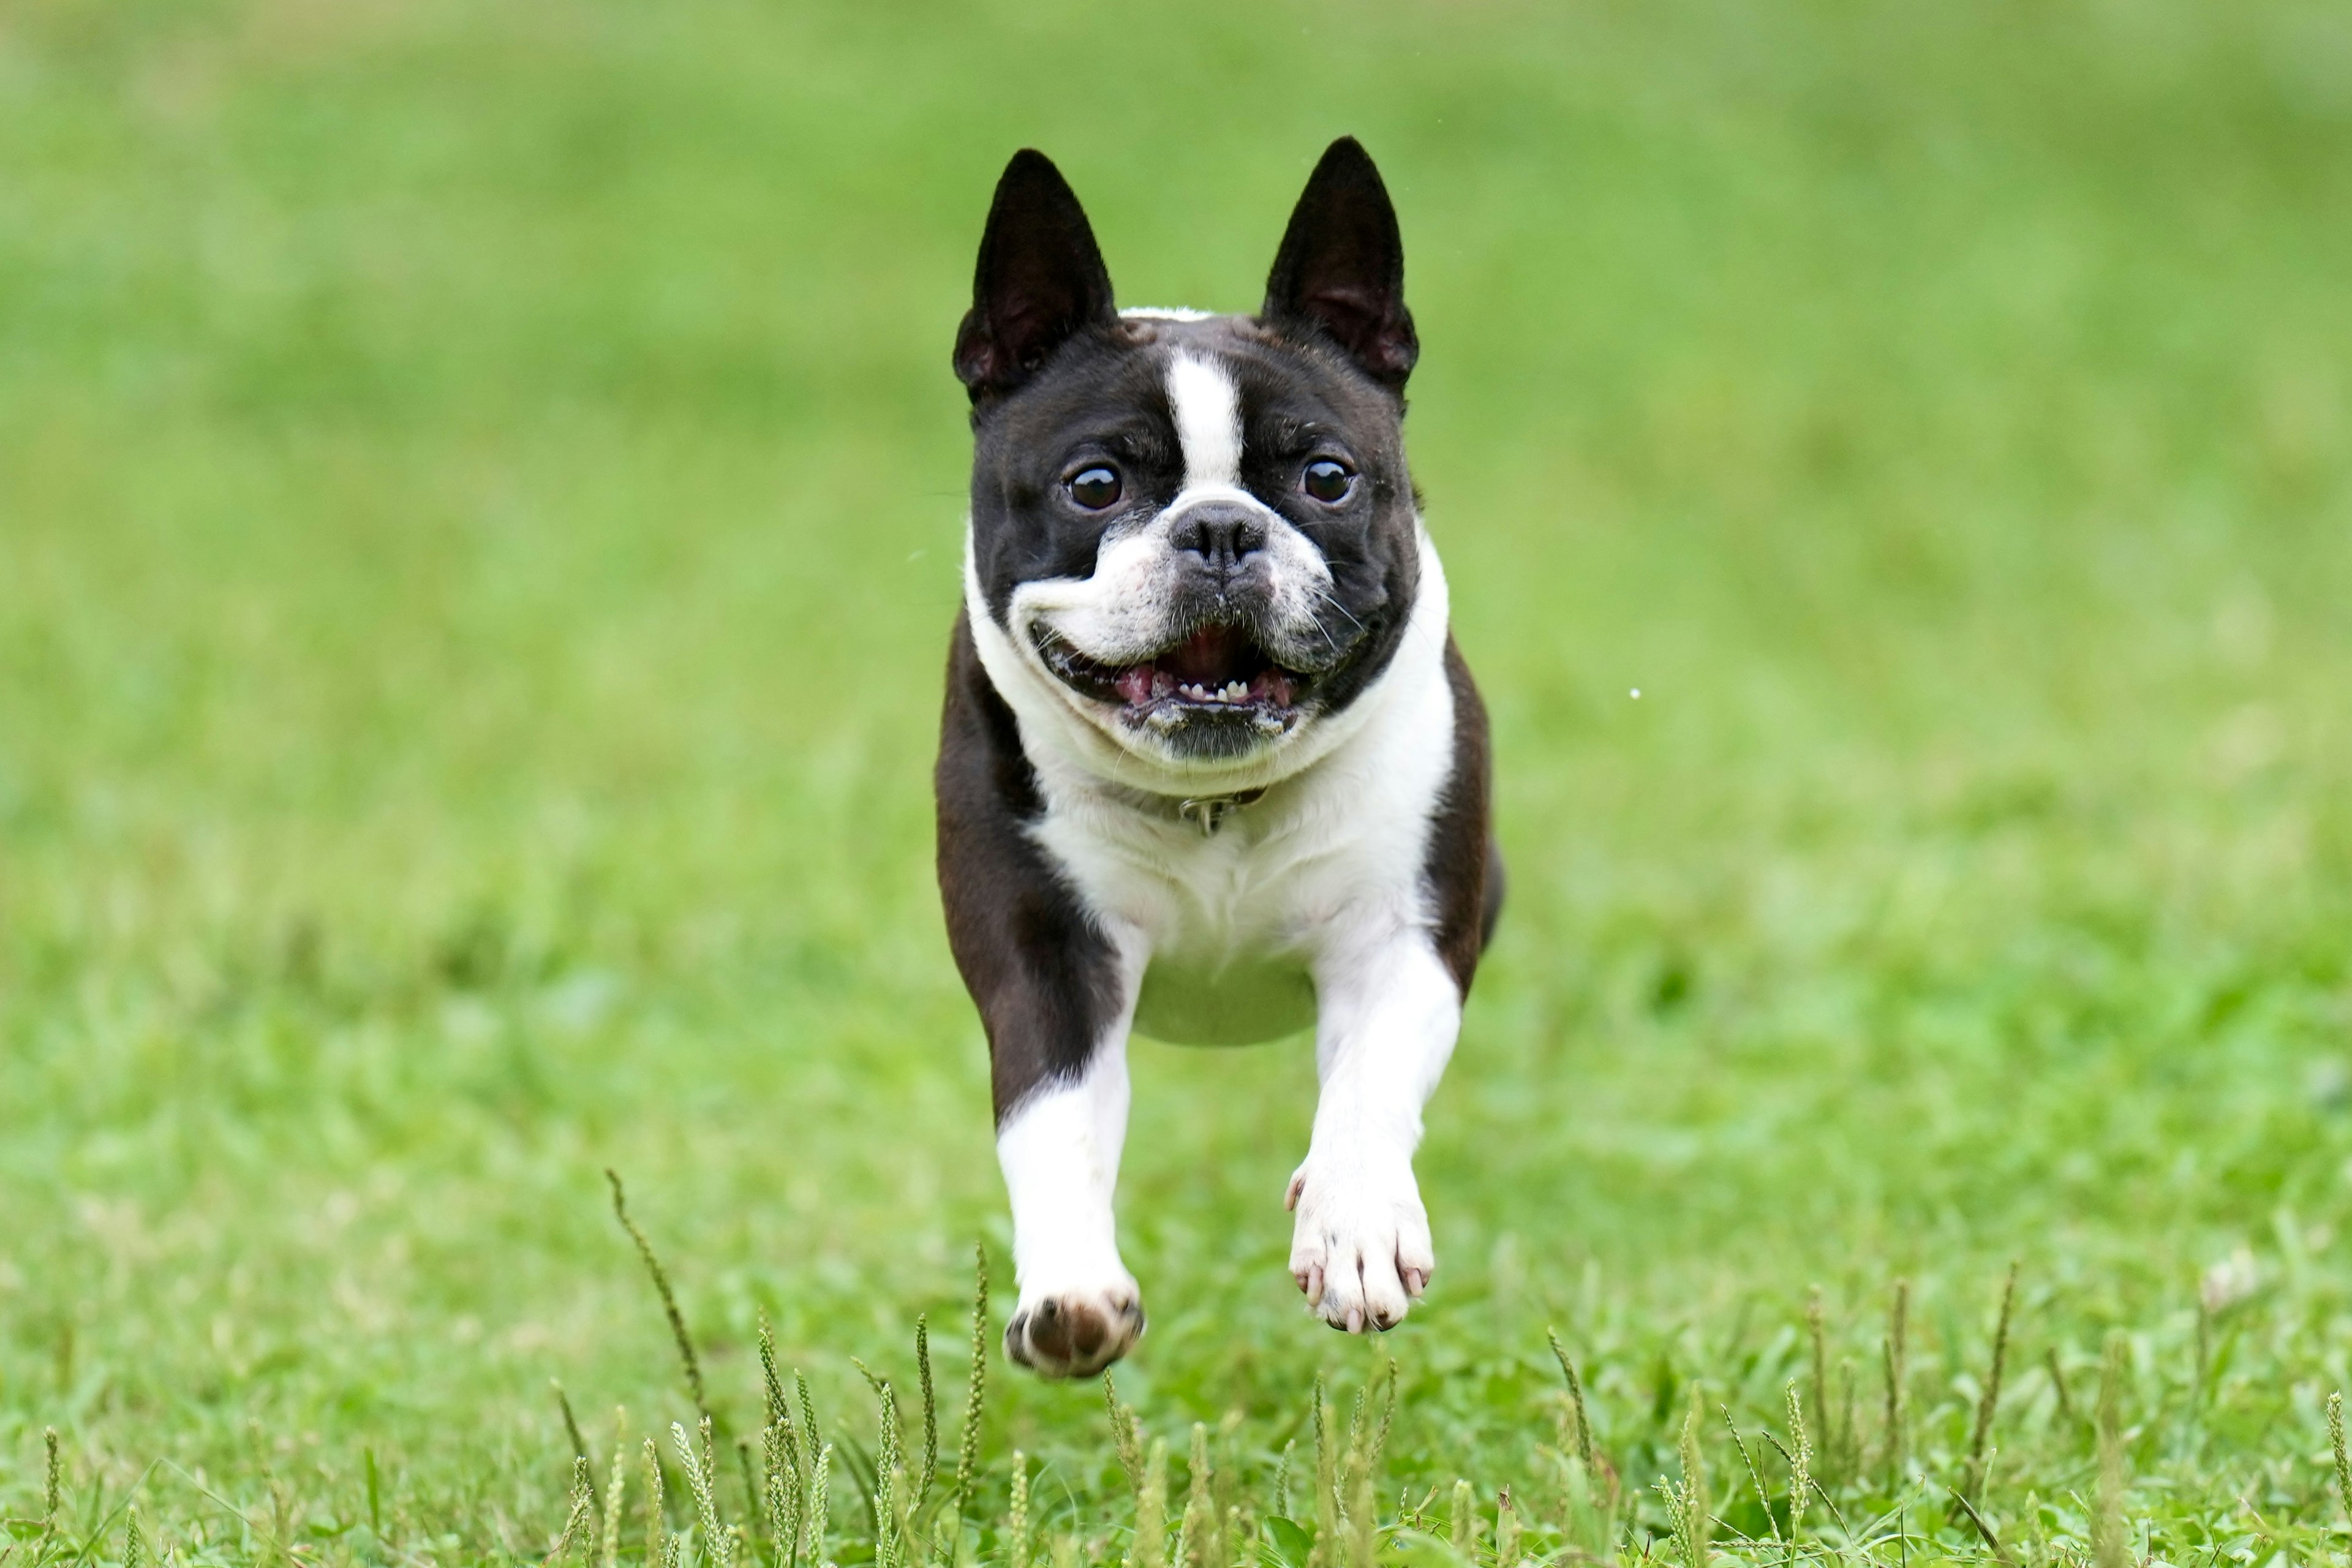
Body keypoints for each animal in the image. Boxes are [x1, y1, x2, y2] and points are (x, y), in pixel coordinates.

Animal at [931, 141, 1496, 1382]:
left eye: (1327, 477)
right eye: (1097, 485)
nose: (1222, 530)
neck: (1217, 801)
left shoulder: (1407, 934)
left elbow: (1369, 1083)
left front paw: (1356, 1227)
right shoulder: (1045, 955)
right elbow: (1050, 1121)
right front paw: (1071, 1290)